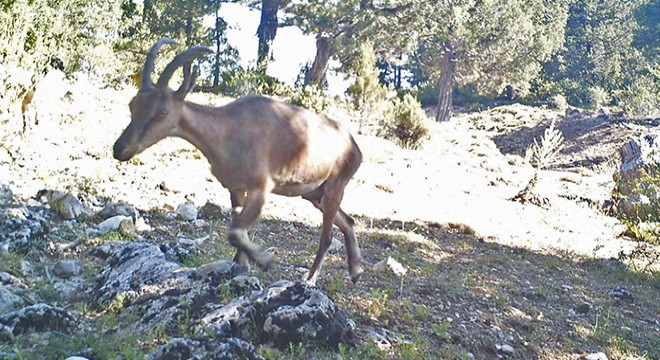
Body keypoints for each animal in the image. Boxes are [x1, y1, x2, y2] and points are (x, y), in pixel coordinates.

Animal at [112, 38, 366, 284]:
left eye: (162, 111)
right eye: (133, 105)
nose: (119, 149)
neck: (229, 131)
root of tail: (355, 145)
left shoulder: (261, 188)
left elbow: (235, 232)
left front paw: (263, 259)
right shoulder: (235, 188)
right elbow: (238, 228)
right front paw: (241, 264)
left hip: (335, 185)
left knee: (328, 235)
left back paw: (311, 279)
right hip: (314, 194)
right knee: (348, 221)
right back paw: (355, 271)